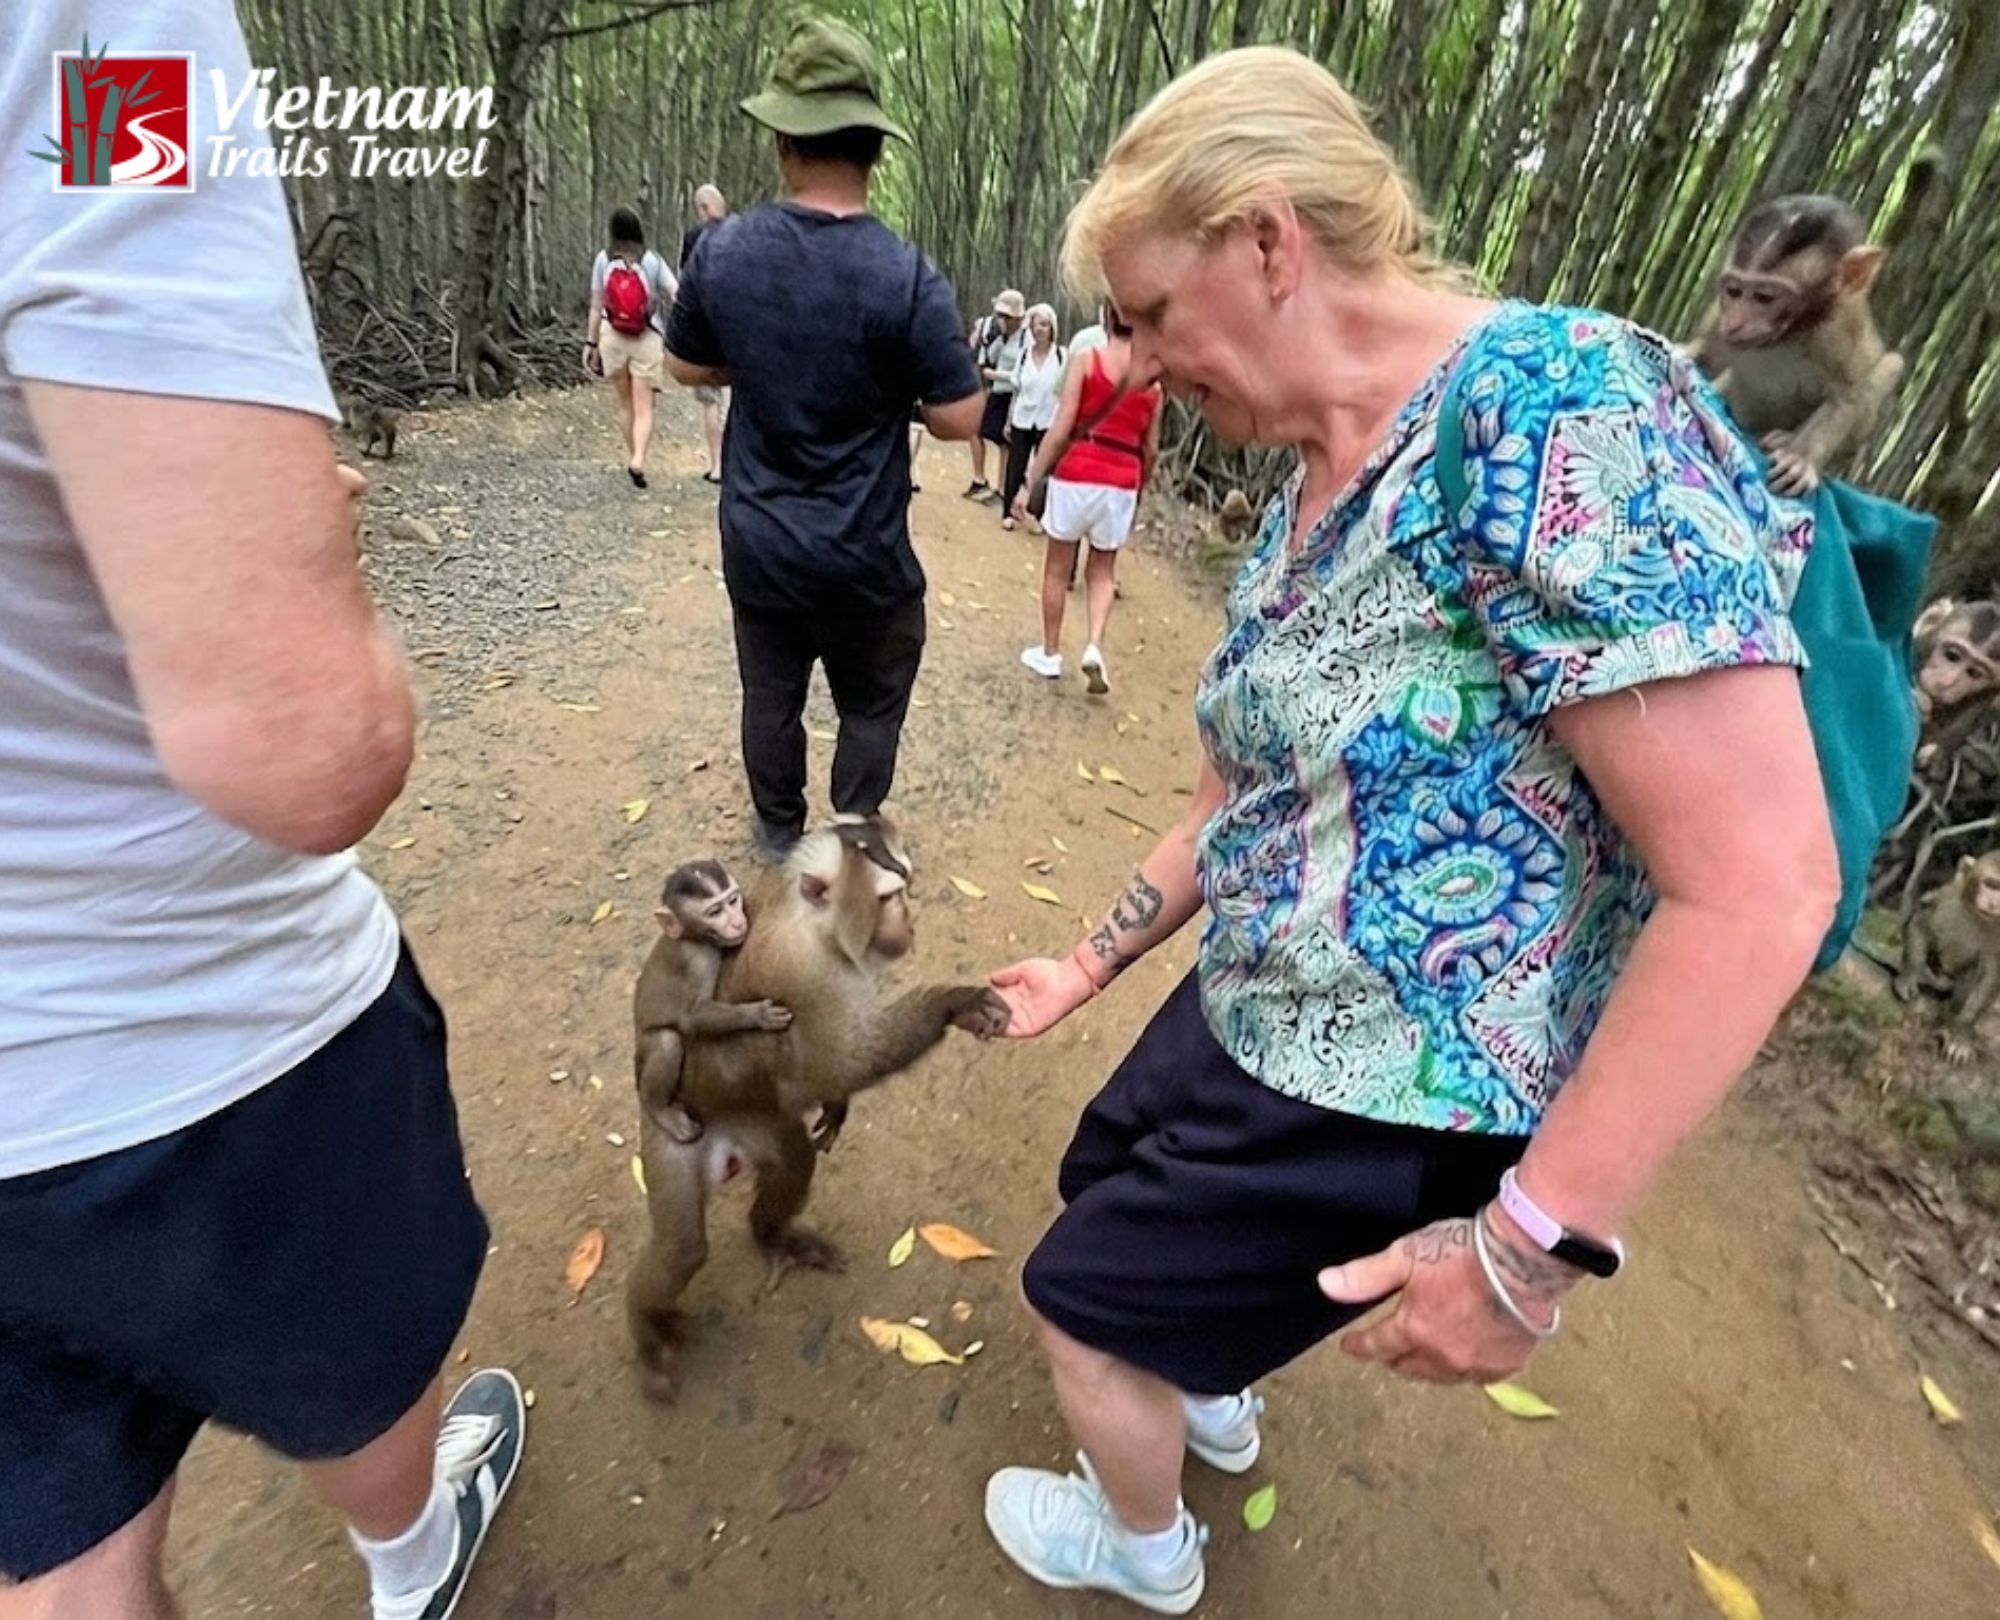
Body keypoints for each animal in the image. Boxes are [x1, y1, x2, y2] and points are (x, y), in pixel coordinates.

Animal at [633, 859, 793, 1146]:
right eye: (715, 912)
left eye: (733, 900)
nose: (738, 921)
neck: (692, 937)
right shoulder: (698, 960)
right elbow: (692, 1018)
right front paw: (758, 1014)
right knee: (666, 1041)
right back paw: (661, 1111)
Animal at [1690, 194, 1903, 498]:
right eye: (1733, 291)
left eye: (1764, 298)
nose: (1735, 322)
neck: (1789, 336)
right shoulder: (1720, 317)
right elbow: (1706, 353)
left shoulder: (1838, 330)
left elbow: (1847, 395)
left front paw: (1801, 458)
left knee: (1891, 365)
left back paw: (1785, 438)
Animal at [1896, 851, 2000, 1064]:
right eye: (1992, 884)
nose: (1995, 904)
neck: (1976, 917)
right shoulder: (1948, 898)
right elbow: (1923, 923)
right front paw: (1910, 975)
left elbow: (1990, 975)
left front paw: (1961, 1032)